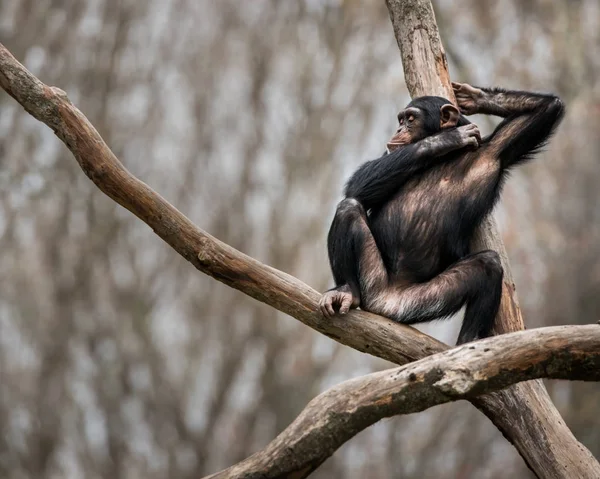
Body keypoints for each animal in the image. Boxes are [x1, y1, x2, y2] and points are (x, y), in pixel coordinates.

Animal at [322, 82, 564, 344]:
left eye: (410, 119)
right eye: (401, 119)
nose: (398, 129)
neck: (444, 160)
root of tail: (386, 301)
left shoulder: (497, 150)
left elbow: (546, 109)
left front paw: (476, 97)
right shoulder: (390, 154)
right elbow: (359, 183)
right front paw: (446, 139)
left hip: (422, 301)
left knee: (488, 264)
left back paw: (468, 343)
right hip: (373, 281)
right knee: (348, 207)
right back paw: (347, 292)